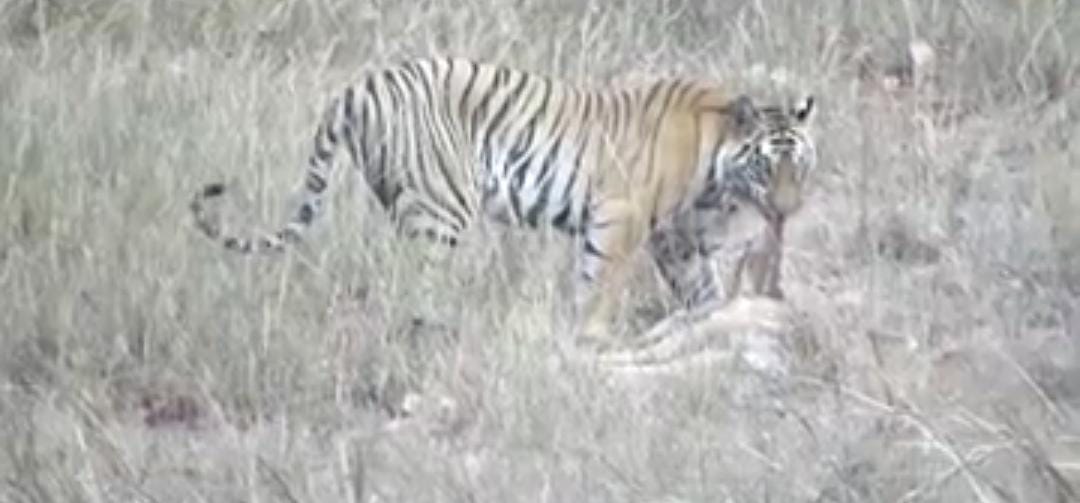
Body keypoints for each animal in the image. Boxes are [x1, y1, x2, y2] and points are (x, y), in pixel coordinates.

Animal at [190, 56, 817, 345]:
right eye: (768, 166)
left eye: (801, 166)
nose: (787, 210)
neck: (715, 159)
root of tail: (358, 87)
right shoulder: (622, 218)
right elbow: (600, 284)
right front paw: (592, 338)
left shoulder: (675, 233)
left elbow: (699, 286)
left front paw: (711, 321)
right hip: (442, 210)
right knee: (415, 282)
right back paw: (437, 334)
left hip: (405, 202)